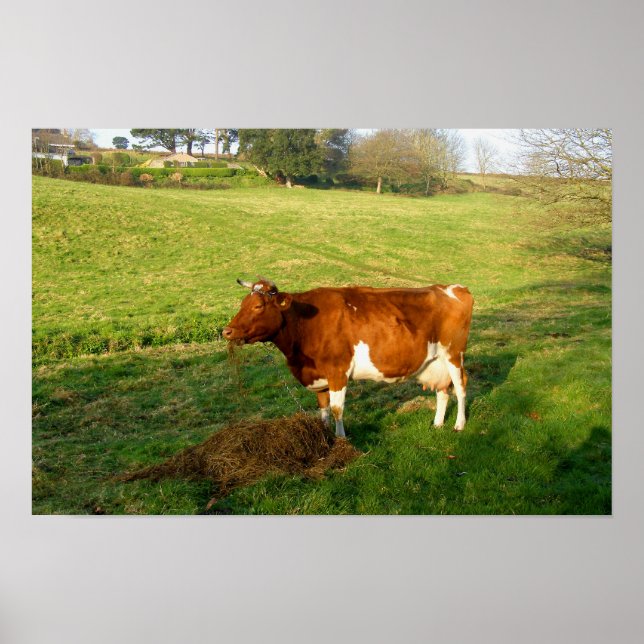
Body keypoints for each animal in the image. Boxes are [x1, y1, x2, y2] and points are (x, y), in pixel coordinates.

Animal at [222, 278, 473, 437]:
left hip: (454, 354)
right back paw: (438, 424)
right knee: (443, 391)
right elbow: (323, 409)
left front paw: (341, 439)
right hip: (435, 362)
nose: (227, 331)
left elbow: (337, 410)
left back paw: (459, 425)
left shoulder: (337, 371)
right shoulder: (320, 377)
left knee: (461, 386)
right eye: (242, 304)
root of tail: (455, 288)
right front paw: (325, 438)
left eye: (257, 306)